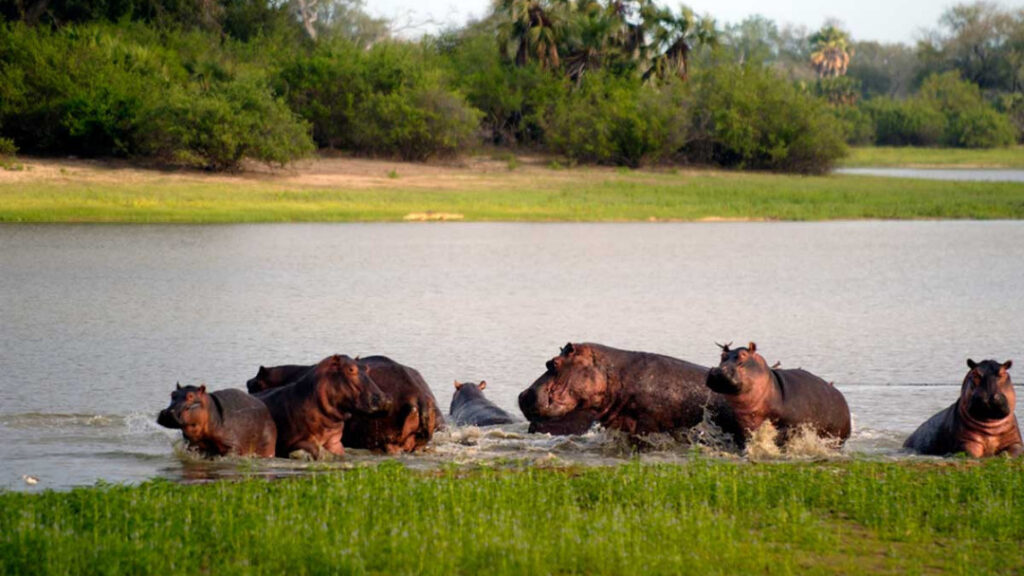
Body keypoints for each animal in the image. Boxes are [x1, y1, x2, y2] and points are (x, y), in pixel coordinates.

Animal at [255, 354, 389, 459]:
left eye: (367, 368)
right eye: (351, 369)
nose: (384, 398)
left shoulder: (334, 441)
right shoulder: (291, 442)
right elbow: (314, 448)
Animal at [705, 342, 851, 448]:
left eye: (743, 354)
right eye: (722, 355)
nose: (718, 371)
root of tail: (841, 397)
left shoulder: (790, 426)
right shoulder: (743, 427)